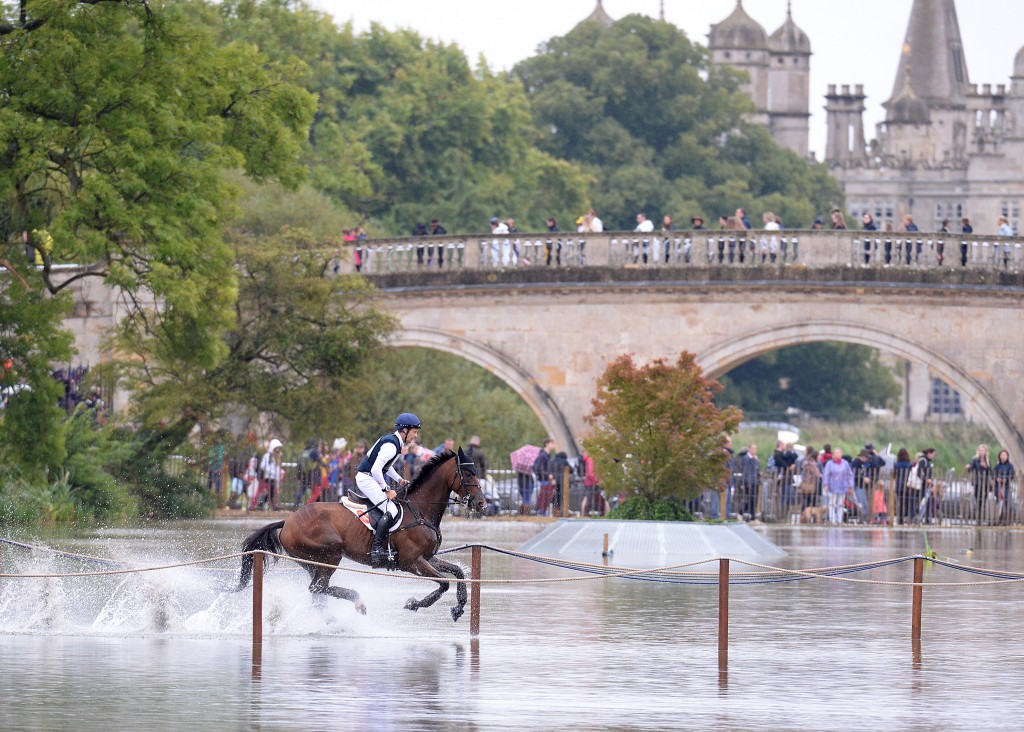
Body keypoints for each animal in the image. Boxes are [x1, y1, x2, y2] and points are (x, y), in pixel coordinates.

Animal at [237, 446, 485, 622]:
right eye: (467, 474)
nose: (482, 503)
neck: (421, 509)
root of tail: (287, 521)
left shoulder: (428, 558)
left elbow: (458, 573)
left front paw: (458, 607)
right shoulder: (412, 562)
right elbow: (444, 583)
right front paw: (413, 604)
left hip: (314, 563)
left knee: (318, 590)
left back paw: (343, 613)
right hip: (329, 554)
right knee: (318, 588)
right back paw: (350, 609)